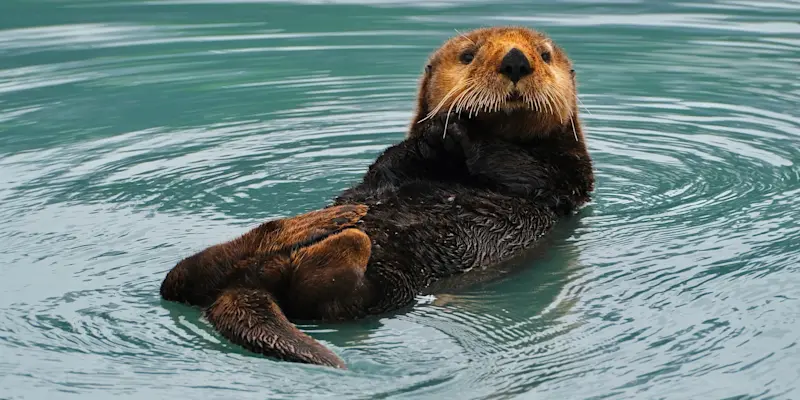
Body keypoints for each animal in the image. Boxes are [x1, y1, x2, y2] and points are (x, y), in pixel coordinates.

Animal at [159, 26, 594, 369]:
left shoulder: (568, 177)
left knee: (327, 296)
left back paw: (341, 235)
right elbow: (391, 164)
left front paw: (461, 130)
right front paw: (436, 129)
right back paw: (322, 222)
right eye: (468, 55)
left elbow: (526, 170)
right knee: (182, 278)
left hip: (384, 287)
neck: (454, 168)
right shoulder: (392, 168)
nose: (516, 61)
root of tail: (247, 283)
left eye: (544, 55)